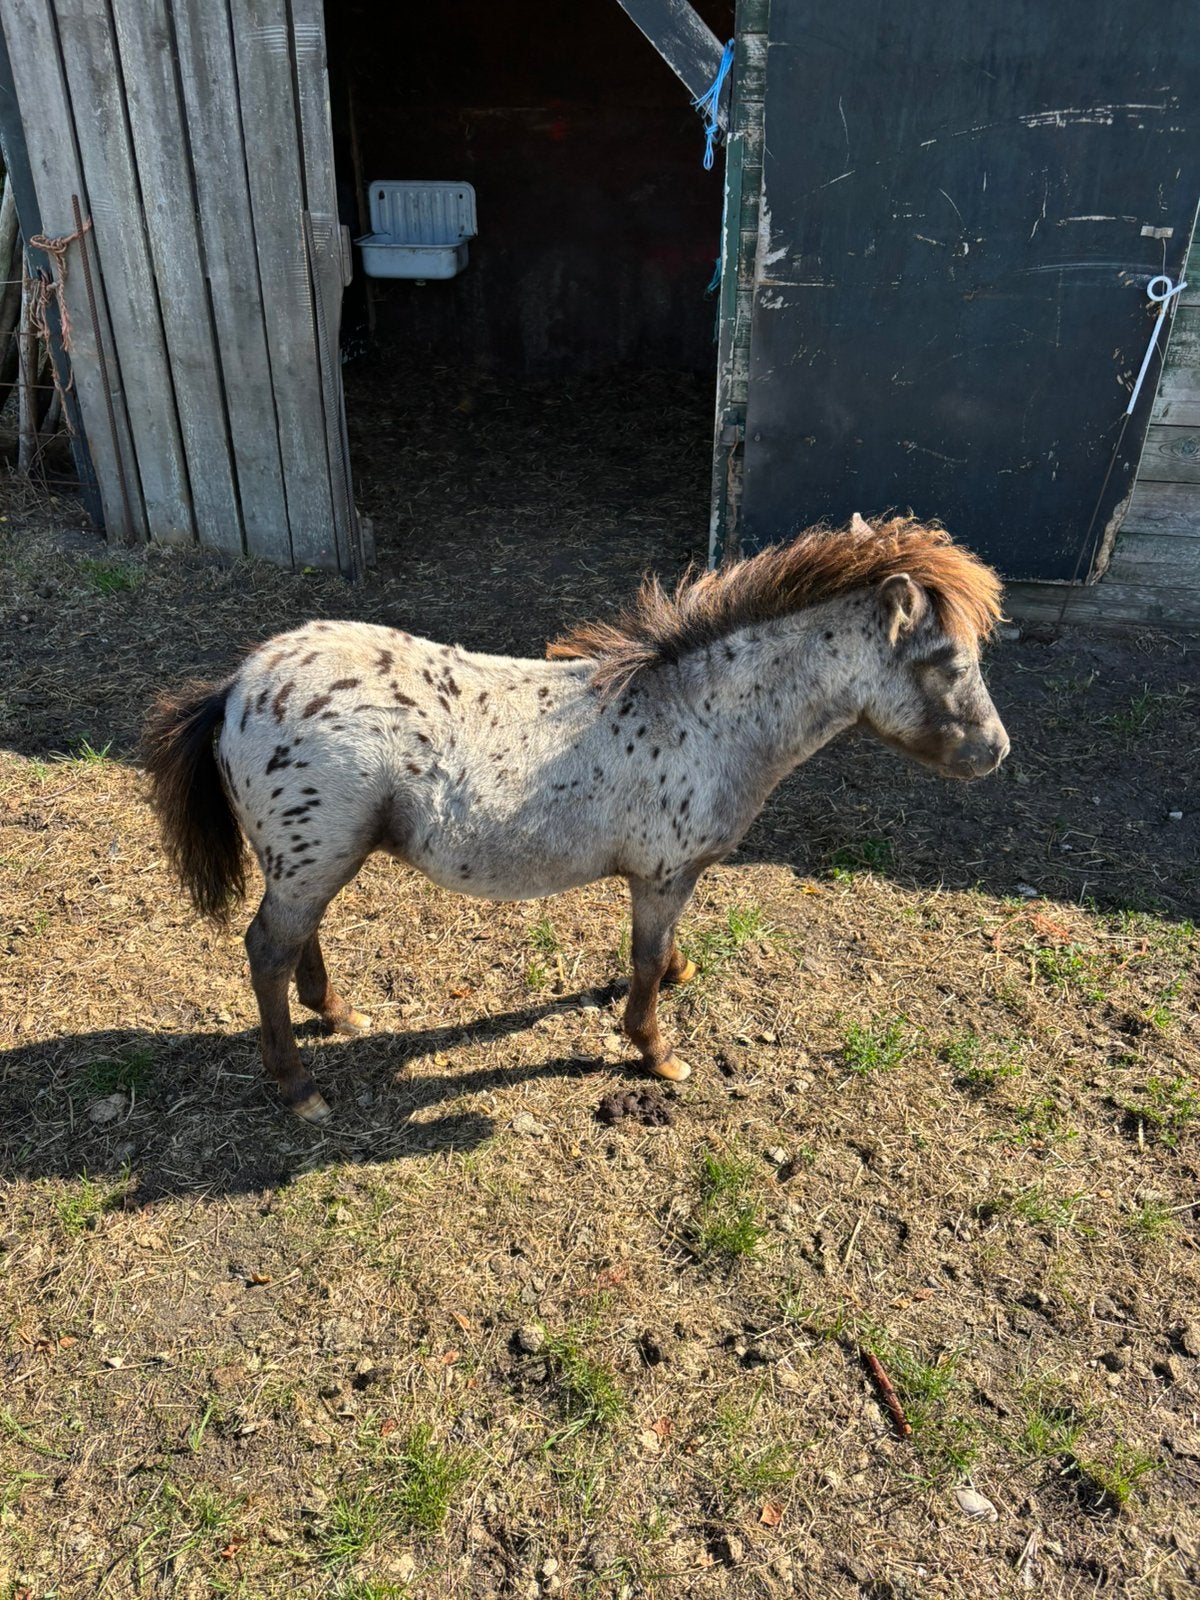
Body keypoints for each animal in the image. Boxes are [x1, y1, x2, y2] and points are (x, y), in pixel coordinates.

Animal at [142, 513, 1008, 1123]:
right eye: (947, 661)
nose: (994, 752)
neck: (699, 715)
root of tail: (237, 687)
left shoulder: (671, 878)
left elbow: (661, 954)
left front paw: (682, 974)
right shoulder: (661, 876)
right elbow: (645, 963)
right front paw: (656, 1053)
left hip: (314, 860)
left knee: (298, 942)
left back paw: (340, 1013)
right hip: (312, 858)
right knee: (267, 951)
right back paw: (299, 1090)